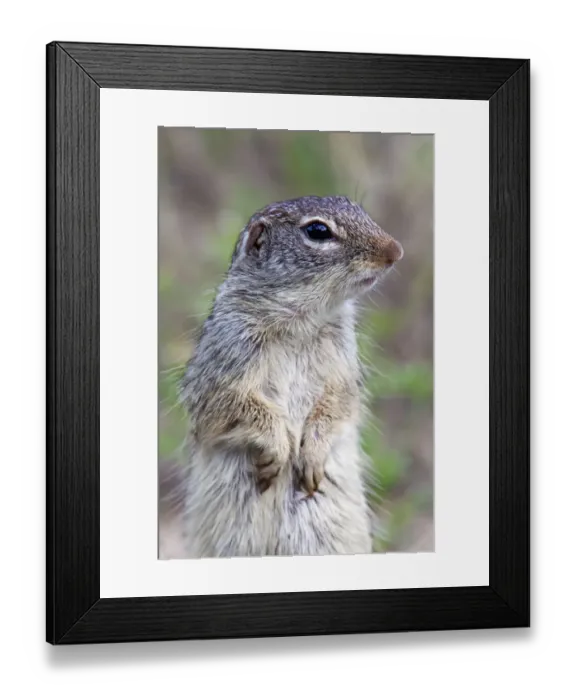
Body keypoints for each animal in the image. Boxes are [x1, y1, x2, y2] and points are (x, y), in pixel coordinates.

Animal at [178, 195, 404, 558]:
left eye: (357, 208)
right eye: (317, 231)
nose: (396, 251)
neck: (300, 321)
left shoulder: (344, 370)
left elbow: (340, 404)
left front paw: (311, 454)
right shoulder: (221, 363)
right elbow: (230, 406)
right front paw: (278, 447)